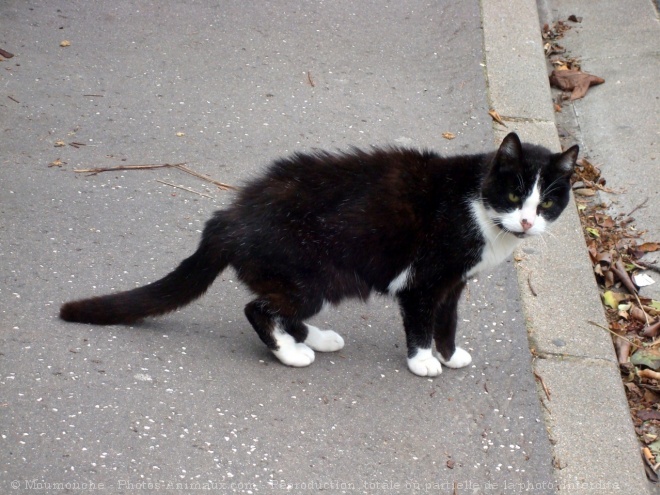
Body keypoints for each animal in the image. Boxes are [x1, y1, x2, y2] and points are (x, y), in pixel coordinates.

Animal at [62, 134, 576, 378]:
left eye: (548, 202)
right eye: (514, 194)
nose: (527, 222)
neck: (477, 205)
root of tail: (228, 217)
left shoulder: (452, 284)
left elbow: (448, 321)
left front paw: (449, 355)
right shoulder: (423, 281)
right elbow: (421, 322)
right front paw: (423, 361)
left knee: (280, 309)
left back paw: (318, 339)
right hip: (315, 275)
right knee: (259, 308)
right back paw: (292, 354)